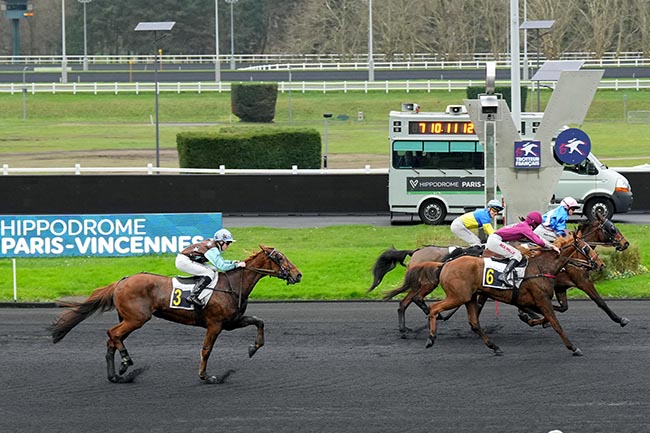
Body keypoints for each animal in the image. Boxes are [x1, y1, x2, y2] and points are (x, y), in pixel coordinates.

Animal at [50, 245, 302, 384]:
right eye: (279, 258)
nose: (298, 275)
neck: (232, 284)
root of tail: (122, 280)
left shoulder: (232, 322)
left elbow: (259, 322)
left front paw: (253, 348)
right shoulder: (215, 325)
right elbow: (206, 350)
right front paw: (206, 377)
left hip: (129, 318)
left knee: (113, 338)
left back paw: (117, 374)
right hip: (136, 318)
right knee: (112, 334)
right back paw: (125, 363)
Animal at [422, 235, 600, 356]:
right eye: (586, 248)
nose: (600, 264)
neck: (542, 267)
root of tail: (445, 264)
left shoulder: (533, 301)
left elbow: (546, 318)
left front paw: (529, 319)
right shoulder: (541, 300)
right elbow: (555, 323)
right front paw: (573, 347)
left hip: (469, 297)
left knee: (474, 322)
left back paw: (495, 347)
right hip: (458, 296)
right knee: (434, 308)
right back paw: (431, 338)